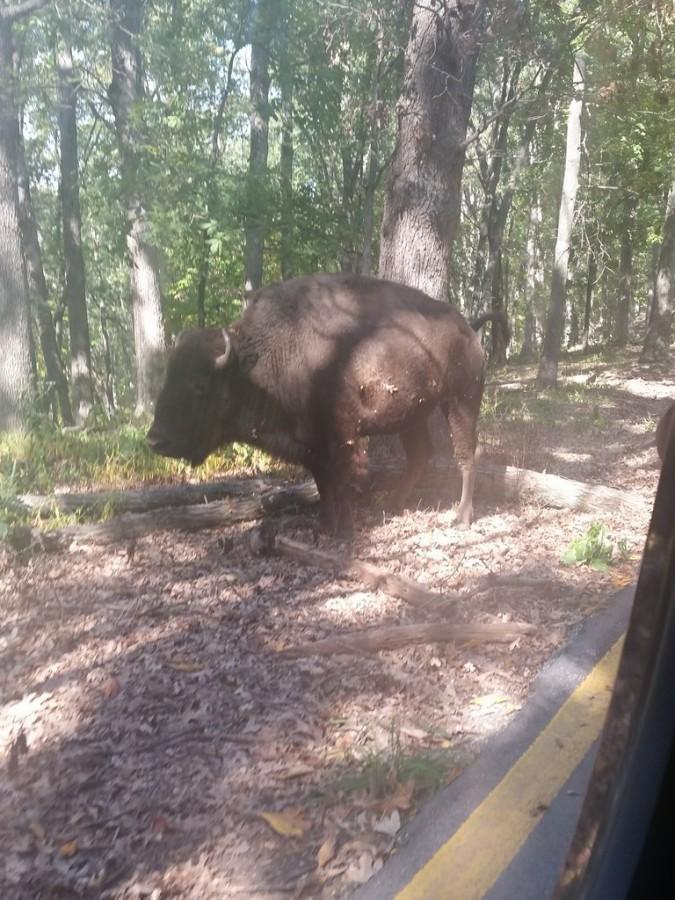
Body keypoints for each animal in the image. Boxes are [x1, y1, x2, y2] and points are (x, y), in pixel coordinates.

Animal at [149, 274, 496, 536]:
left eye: (199, 385)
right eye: (167, 378)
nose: (155, 440)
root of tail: (469, 328)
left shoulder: (341, 437)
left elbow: (341, 482)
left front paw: (345, 530)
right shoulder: (311, 445)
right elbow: (323, 483)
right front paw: (326, 526)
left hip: (461, 401)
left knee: (467, 454)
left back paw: (461, 517)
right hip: (414, 414)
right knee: (421, 455)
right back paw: (394, 504)